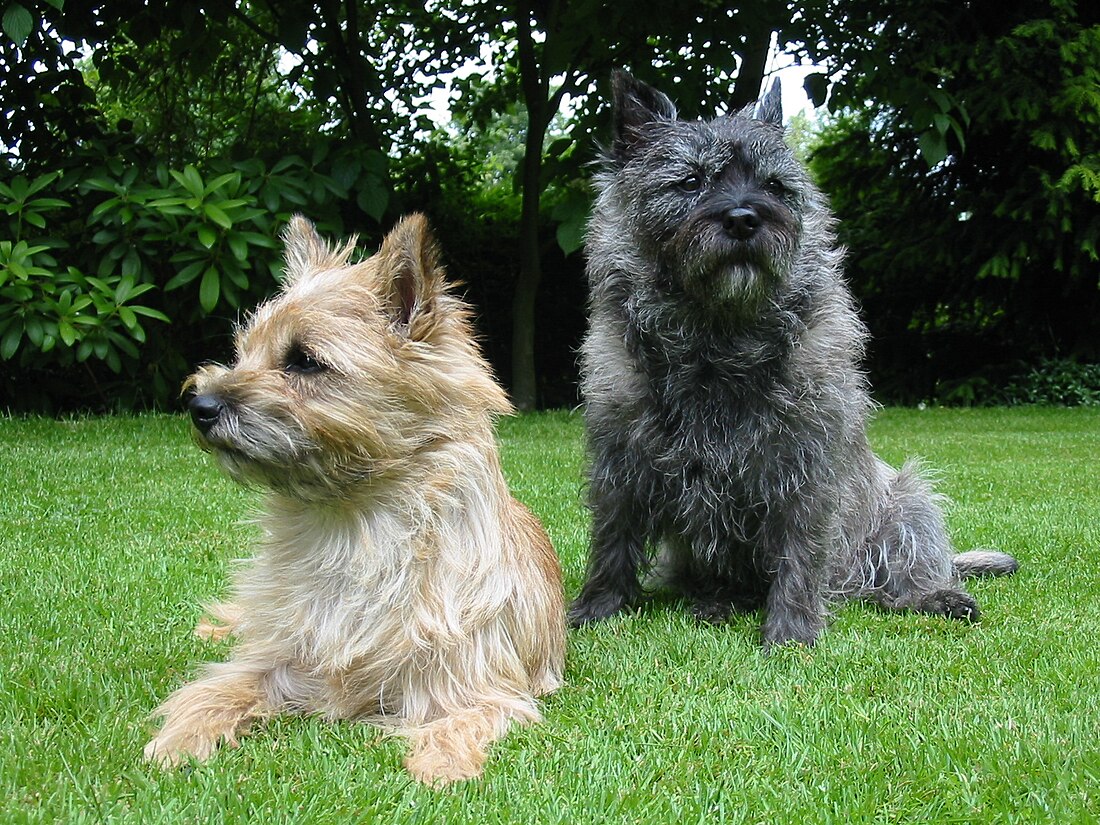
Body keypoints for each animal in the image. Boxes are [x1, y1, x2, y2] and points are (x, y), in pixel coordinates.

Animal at [141, 213, 563, 787]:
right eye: (243, 352)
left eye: (304, 361)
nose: (199, 405)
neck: (352, 526)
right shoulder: (275, 662)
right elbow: (214, 689)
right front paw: (177, 741)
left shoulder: (472, 685)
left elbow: (458, 724)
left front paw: (440, 767)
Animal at [572, 70, 1016, 651]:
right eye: (689, 181)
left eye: (775, 187)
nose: (744, 218)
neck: (719, 338)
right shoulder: (619, 460)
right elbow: (612, 540)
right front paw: (595, 610)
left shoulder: (806, 467)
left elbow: (801, 551)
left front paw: (792, 633)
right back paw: (717, 603)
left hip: (907, 501)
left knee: (904, 571)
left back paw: (935, 595)